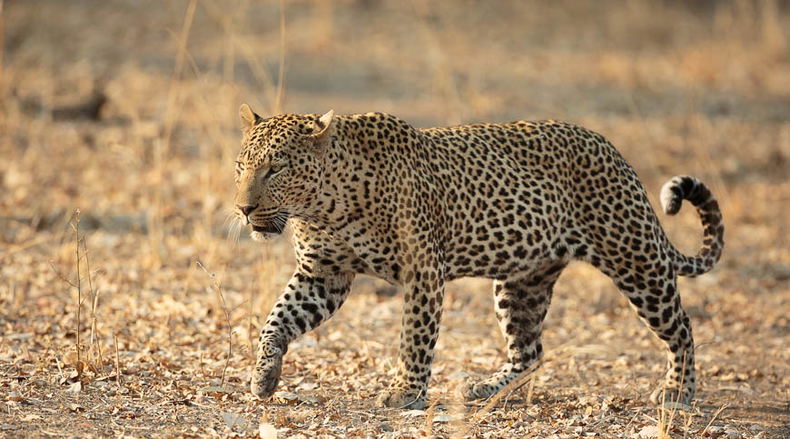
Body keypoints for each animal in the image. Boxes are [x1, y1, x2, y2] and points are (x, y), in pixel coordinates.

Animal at [233, 103, 724, 410]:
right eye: (241, 167)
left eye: (276, 168)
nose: (243, 208)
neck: (325, 207)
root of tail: (614, 151)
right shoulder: (323, 274)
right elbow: (276, 319)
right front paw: (264, 376)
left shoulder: (423, 272)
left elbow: (414, 337)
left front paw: (405, 392)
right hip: (522, 282)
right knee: (530, 351)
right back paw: (485, 388)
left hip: (636, 260)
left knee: (682, 329)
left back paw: (678, 392)